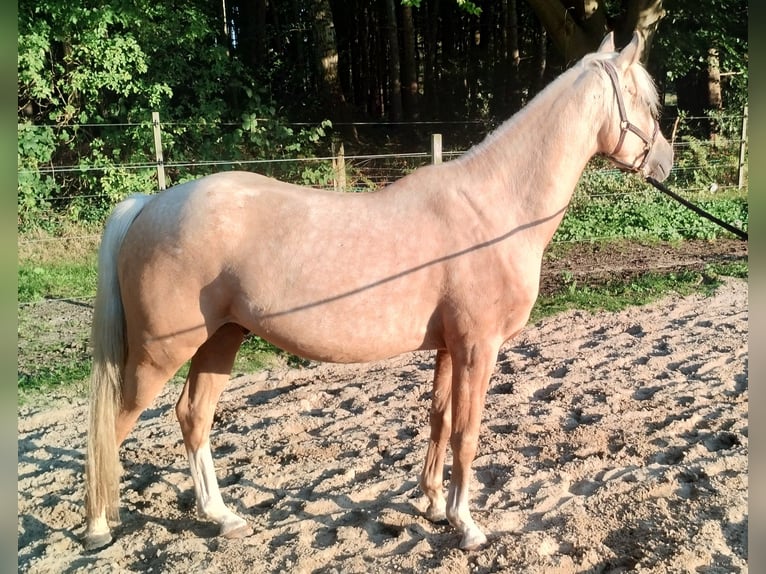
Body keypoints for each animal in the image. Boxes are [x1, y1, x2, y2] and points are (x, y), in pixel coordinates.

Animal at [82, 32, 672, 552]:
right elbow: (467, 432)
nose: (665, 163)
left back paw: (222, 517)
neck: (493, 208)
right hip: (160, 354)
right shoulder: (478, 348)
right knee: (112, 427)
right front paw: (466, 525)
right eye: (649, 104)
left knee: (192, 417)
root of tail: (149, 204)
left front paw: (433, 503)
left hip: (220, 340)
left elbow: (439, 420)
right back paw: (97, 528)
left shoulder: (449, 349)